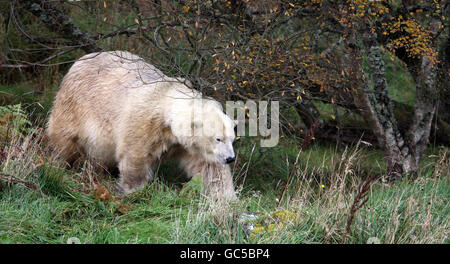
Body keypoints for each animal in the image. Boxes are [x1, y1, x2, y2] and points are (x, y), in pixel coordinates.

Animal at [47, 51, 237, 200]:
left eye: (232, 139)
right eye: (218, 138)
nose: (230, 158)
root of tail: (79, 61)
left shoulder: (188, 145)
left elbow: (210, 168)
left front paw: (226, 198)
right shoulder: (144, 122)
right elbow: (135, 154)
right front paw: (132, 189)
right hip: (73, 105)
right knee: (65, 139)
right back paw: (58, 164)